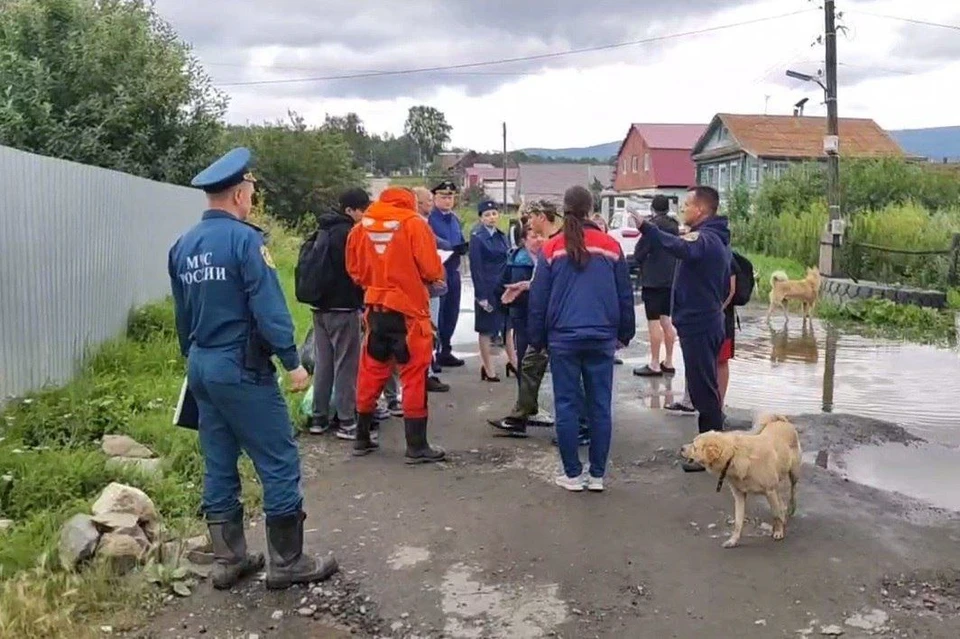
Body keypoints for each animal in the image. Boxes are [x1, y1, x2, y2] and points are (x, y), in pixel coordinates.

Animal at [680, 416, 808, 552]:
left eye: (694, 446)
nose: (681, 448)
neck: (733, 455)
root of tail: (781, 420)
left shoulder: (769, 491)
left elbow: (775, 515)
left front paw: (778, 531)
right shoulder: (740, 495)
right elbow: (738, 521)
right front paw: (733, 540)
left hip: (793, 473)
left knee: (793, 490)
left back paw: (791, 508)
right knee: (780, 500)